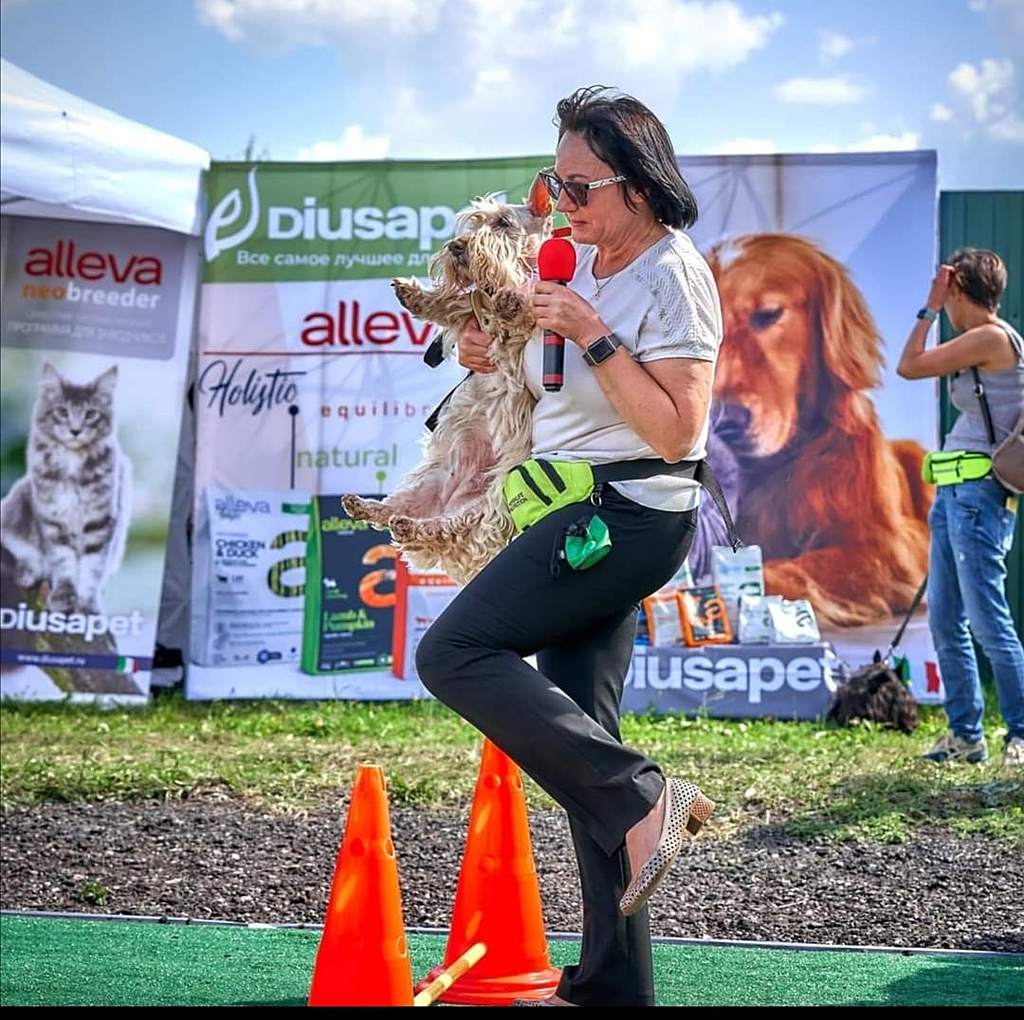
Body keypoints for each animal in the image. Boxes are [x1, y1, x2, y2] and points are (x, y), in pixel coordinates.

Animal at [342, 183, 552, 581]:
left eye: (503, 222)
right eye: (474, 221)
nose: (457, 246)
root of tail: (452, 498)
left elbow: (519, 312)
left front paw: (511, 304)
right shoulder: (468, 309)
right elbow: (452, 303)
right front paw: (415, 295)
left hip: (492, 501)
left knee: (452, 528)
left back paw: (416, 526)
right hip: (430, 481)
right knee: (397, 509)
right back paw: (366, 506)